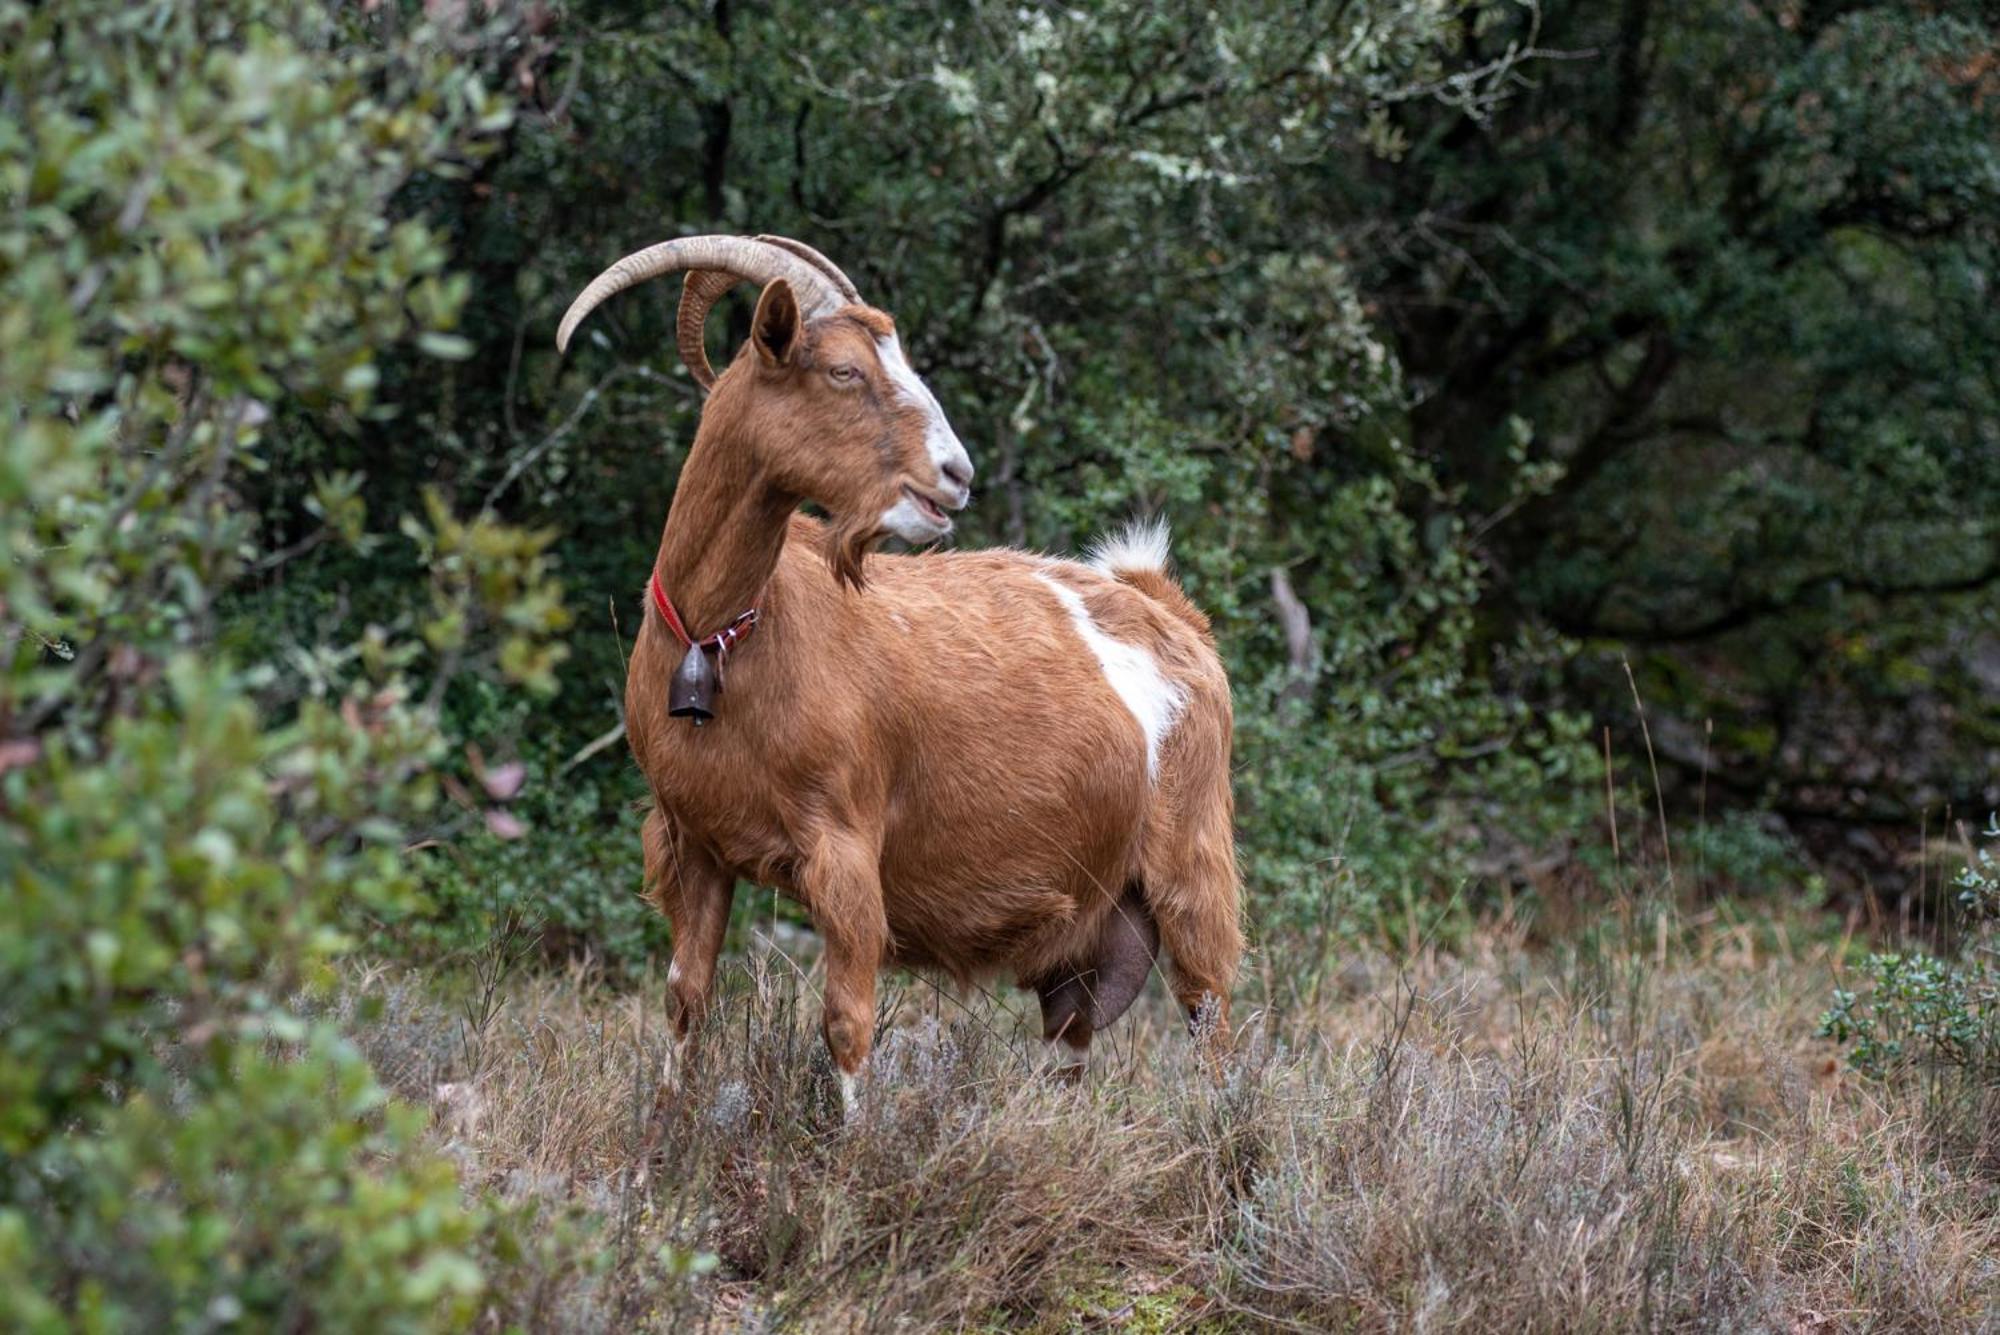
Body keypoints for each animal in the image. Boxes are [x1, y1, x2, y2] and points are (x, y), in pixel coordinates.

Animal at [548, 236, 1232, 1095]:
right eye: (843, 371)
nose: (957, 474)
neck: (723, 637)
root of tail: (1168, 611)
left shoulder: (843, 845)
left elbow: (847, 1023)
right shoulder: (692, 841)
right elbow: (685, 998)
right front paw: (671, 1120)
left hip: (1191, 861)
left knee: (1212, 1015)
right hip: (1090, 932)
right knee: (1072, 1040)